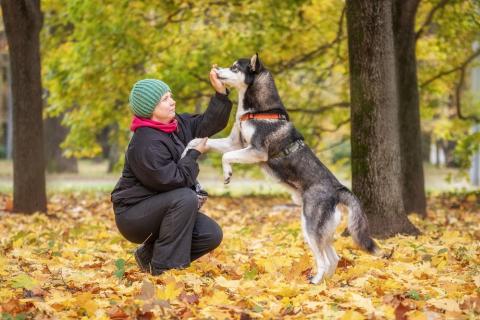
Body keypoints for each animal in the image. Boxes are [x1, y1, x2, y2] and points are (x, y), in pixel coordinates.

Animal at [184, 53, 378, 284]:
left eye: (234, 68)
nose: (215, 70)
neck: (258, 111)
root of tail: (338, 189)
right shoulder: (235, 143)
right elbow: (200, 141)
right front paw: (186, 151)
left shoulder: (256, 152)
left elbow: (225, 156)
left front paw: (227, 174)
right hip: (322, 231)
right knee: (334, 258)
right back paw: (325, 284)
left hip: (310, 226)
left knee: (324, 260)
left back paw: (314, 282)